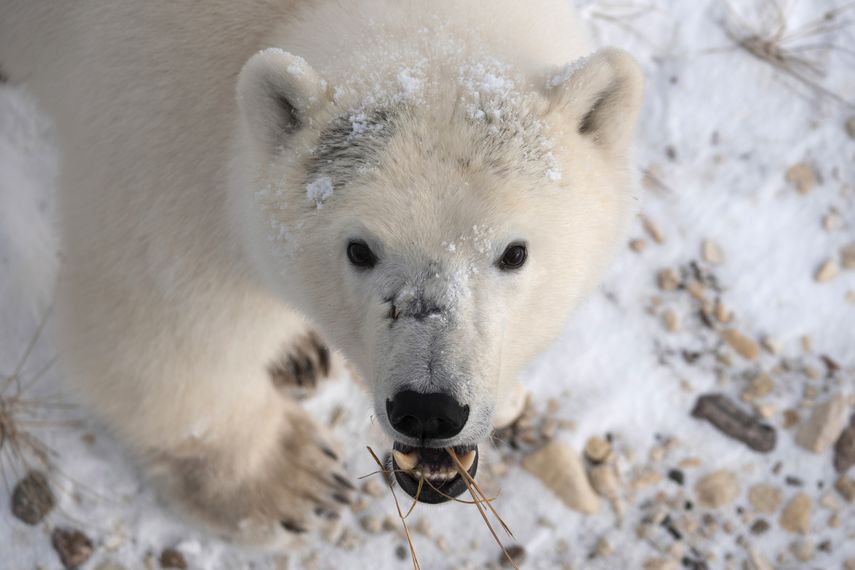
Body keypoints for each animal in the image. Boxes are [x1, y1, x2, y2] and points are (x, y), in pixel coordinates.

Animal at [0, 0, 643, 546]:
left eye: (514, 252)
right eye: (360, 250)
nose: (428, 409)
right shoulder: (158, 132)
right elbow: (164, 320)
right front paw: (293, 476)